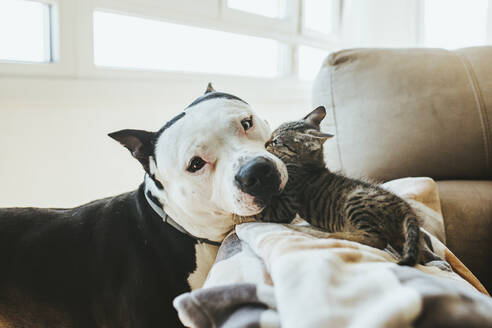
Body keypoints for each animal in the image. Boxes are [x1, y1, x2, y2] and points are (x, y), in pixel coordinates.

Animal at [254, 107, 422, 266]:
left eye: (276, 142)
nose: (265, 143)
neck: (308, 166)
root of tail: (404, 206)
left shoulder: (285, 207)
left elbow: (261, 212)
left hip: (356, 201)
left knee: (377, 240)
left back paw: (328, 235)